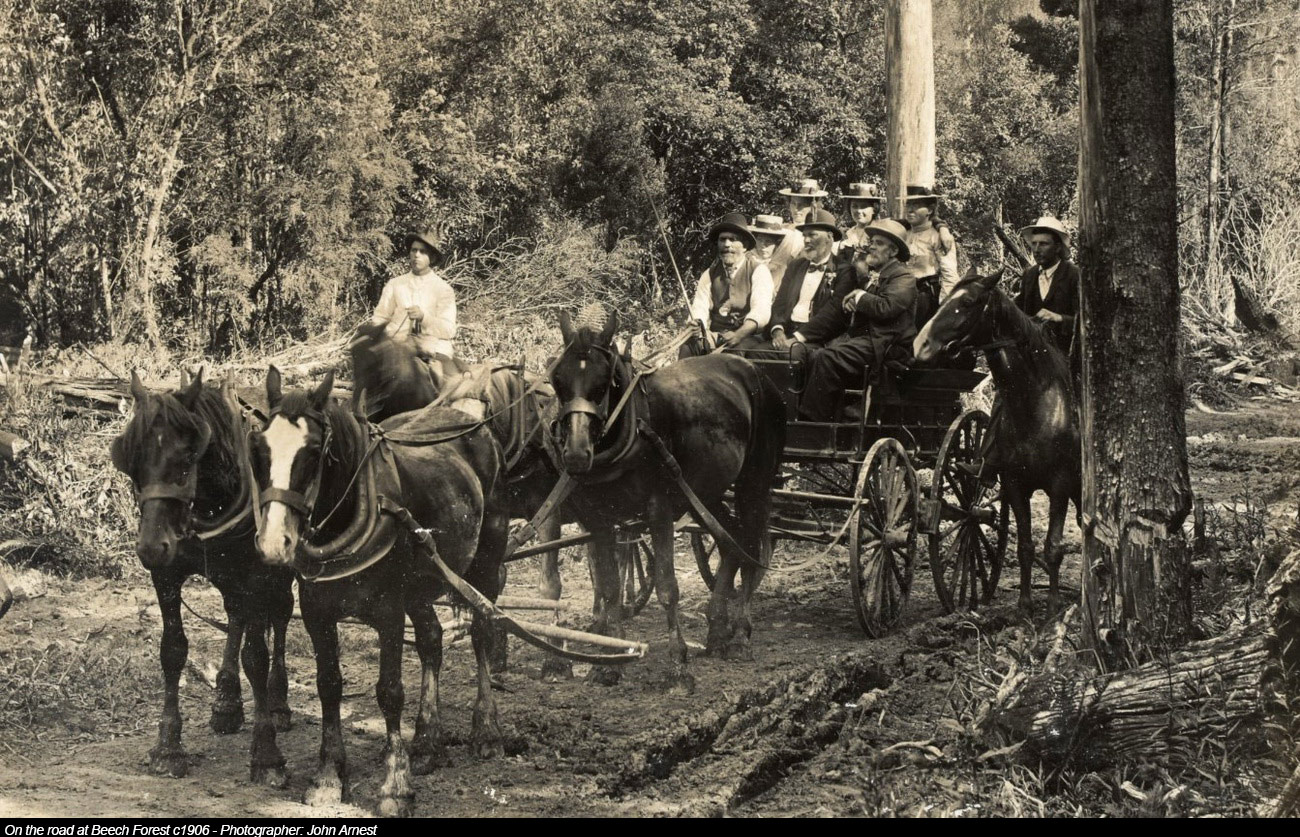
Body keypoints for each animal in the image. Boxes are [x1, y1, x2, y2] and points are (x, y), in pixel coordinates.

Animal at [109, 370, 293, 785]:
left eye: (187, 458)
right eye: (130, 460)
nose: (151, 546)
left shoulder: (257, 574)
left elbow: (256, 657)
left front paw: (266, 754)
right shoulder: (166, 574)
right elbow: (173, 651)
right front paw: (168, 747)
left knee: (280, 616)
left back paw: (278, 703)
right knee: (236, 613)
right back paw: (226, 702)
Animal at [249, 367, 509, 816]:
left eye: (313, 453)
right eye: (261, 451)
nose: (273, 543)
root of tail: (469, 421)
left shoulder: (389, 611)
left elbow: (389, 692)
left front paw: (394, 785)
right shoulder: (317, 612)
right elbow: (329, 685)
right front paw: (328, 776)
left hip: (485, 563)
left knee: (482, 633)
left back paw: (485, 730)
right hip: (422, 584)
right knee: (431, 641)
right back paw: (427, 742)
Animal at [550, 307, 786, 692]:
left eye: (604, 383)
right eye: (557, 379)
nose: (575, 454)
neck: (632, 428)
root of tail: (755, 371)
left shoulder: (658, 511)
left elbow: (666, 587)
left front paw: (678, 665)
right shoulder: (600, 520)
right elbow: (611, 587)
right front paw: (610, 665)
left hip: (754, 483)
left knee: (752, 547)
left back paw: (740, 636)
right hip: (703, 492)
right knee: (730, 542)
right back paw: (716, 632)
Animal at [913, 270, 1082, 612]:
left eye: (968, 302)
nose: (920, 344)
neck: (1036, 403)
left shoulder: (1059, 485)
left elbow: (1053, 547)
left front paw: (1054, 605)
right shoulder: (1015, 485)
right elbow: (1026, 546)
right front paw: (1025, 604)